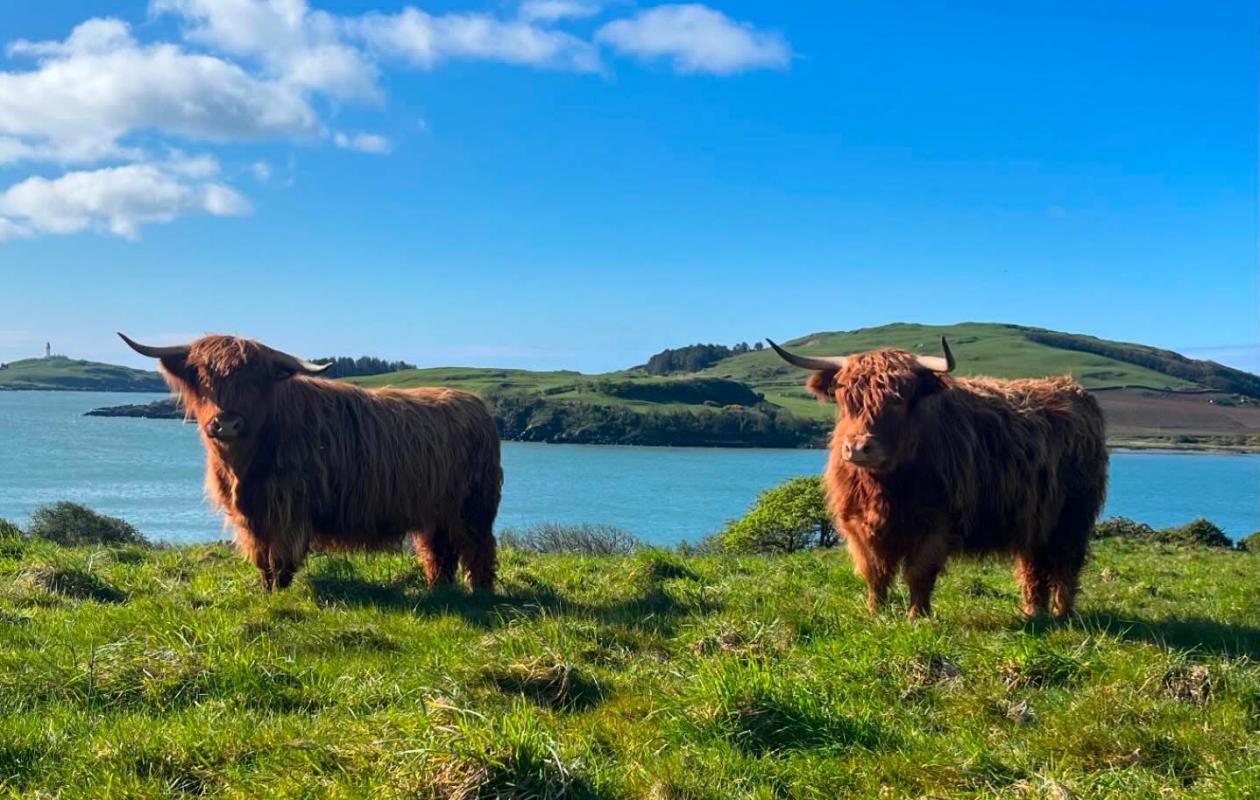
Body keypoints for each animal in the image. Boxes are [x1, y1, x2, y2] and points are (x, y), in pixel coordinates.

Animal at [119, 333, 502, 592]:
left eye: (255, 380)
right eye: (202, 376)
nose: (226, 423)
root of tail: (475, 404)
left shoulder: (289, 509)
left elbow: (280, 559)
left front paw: (280, 591)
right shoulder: (252, 516)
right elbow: (261, 558)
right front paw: (266, 590)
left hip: (474, 505)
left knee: (478, 547)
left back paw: (478, 592)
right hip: (435, 511)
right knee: (440, 550)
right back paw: (438, 588)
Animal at [768, 336, 1107, 619]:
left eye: (897, 399)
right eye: (845, 398)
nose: (859, 448)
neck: (884, 486)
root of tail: (1070, 388)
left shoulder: (935, 524)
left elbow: (919, 573)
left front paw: (917, 618)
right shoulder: (859, 526)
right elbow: (875, 574)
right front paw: (875, 614)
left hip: (1073, 517)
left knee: (1066, 565)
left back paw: (1063, 614)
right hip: (1035, 522)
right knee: (1033, 568)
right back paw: (1033, 613)